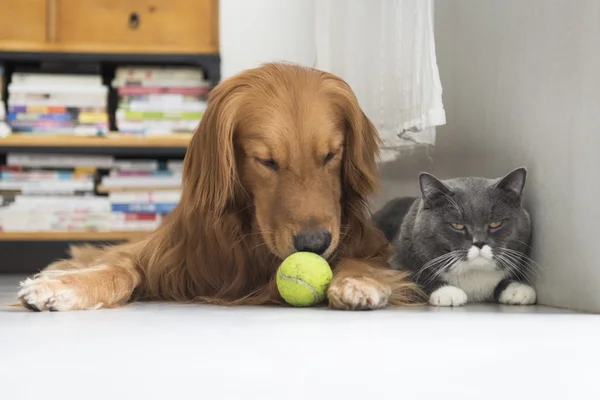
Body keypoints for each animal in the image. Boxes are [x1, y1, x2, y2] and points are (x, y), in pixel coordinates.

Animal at [16, 63, 418, 312]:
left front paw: (359, 281)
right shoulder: (167, 252)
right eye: (266, 161)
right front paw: (64, 286)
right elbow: (119, 266)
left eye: (331, 155)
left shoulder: (368, 244)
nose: (314, 244)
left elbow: (361, 261)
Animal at [376, 167, 540, 308]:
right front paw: (447, 291)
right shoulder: (396, 261)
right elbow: (413, 276)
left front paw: (517, 289)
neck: (473, 273)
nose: (479, 242)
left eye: (495, 223)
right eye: (457, 225)